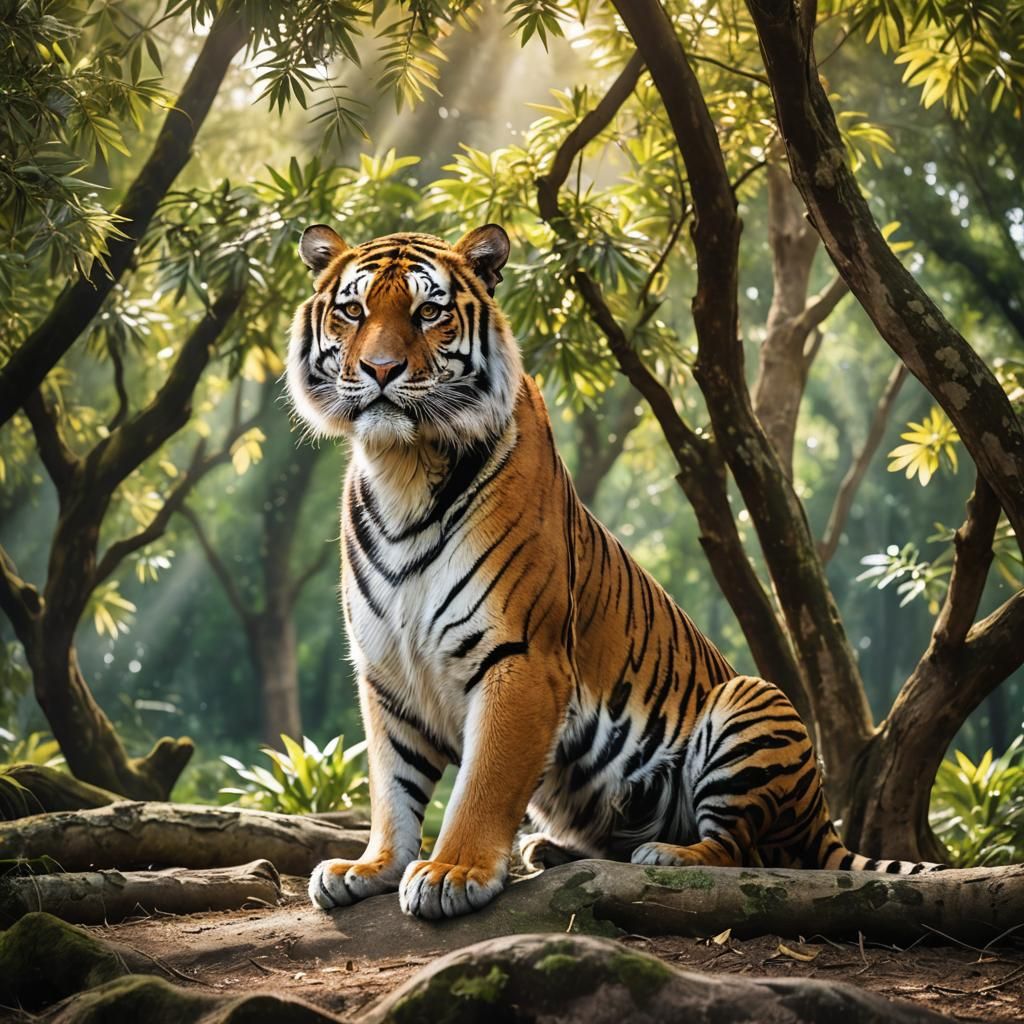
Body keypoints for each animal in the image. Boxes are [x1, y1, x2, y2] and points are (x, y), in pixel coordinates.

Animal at [285, 221, 942, 921]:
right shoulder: (386, 672)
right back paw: (550, 849)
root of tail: (825, 821)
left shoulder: (521, 659)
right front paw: (371, 866)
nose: (380, 370)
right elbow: (392, 788)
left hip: (752, 701)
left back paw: (669, 854)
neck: (402, 467)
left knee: (746, 849)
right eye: (353, 311)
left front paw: (451, 872)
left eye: (428, 313)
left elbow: (483, 783)